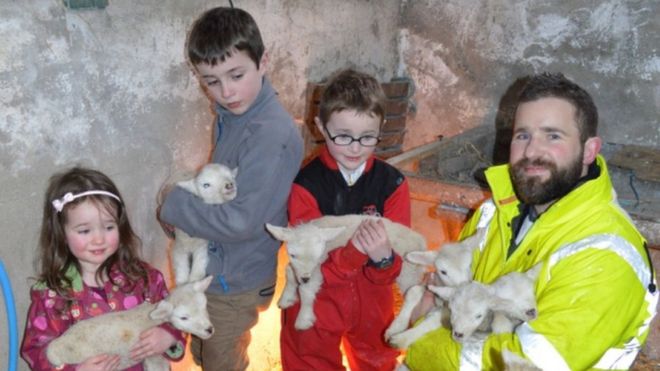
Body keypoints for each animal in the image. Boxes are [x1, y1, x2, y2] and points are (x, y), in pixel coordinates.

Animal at [47, 276, 215, 371]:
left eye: (204, 305)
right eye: (183, 318)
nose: (209, 330)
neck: (148, 316)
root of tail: (52, 350)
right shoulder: (153, 355)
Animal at [266, 215, 428, 332]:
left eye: (317, 255)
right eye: (292, 255)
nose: (305, 278)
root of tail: (421, 241)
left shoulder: (319, 267)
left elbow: (306, 290)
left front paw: (303, 320)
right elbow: (289, 271)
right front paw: (286, 298)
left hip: (408, 271)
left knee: (415, 291)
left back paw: (397, 327)